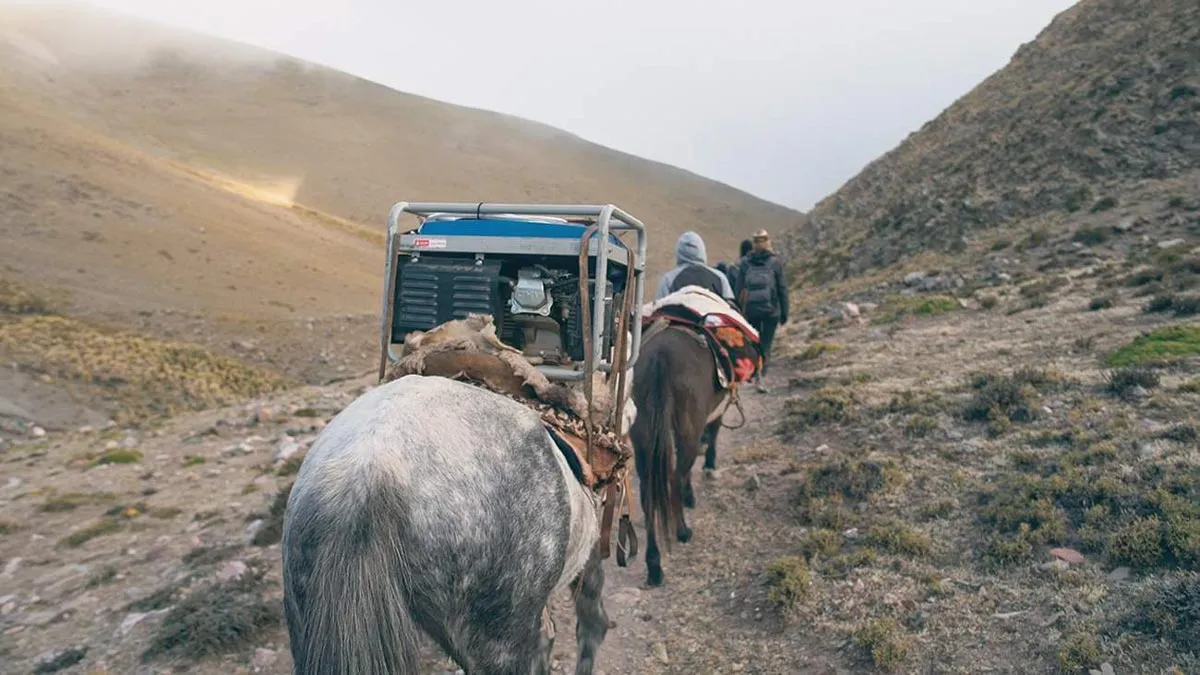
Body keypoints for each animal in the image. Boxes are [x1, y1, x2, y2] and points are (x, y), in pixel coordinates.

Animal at [633, 321, 724, 583]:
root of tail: (660, 357)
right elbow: (713, 433)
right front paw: (707, 470)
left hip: (642, 436)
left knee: (648, 492)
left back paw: (654, 565)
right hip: (687, 431)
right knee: (675, 476)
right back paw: (682, 530)